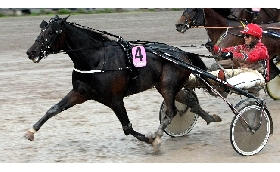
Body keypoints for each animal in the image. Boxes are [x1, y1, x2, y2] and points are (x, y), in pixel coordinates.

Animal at [24, 15, 221, 147]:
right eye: (41, 30)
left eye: (51, 32)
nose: (31, 52)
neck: (96, 59)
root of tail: (181, 53)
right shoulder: (80, 92)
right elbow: (53, 109)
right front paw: (31, 131)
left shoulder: (115, 99)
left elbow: (127, 127)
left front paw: (149, 139)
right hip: (167, 86)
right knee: (188, 102)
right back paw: (210, 117)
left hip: (167, 86)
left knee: (171, 111)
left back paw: (157, 135)